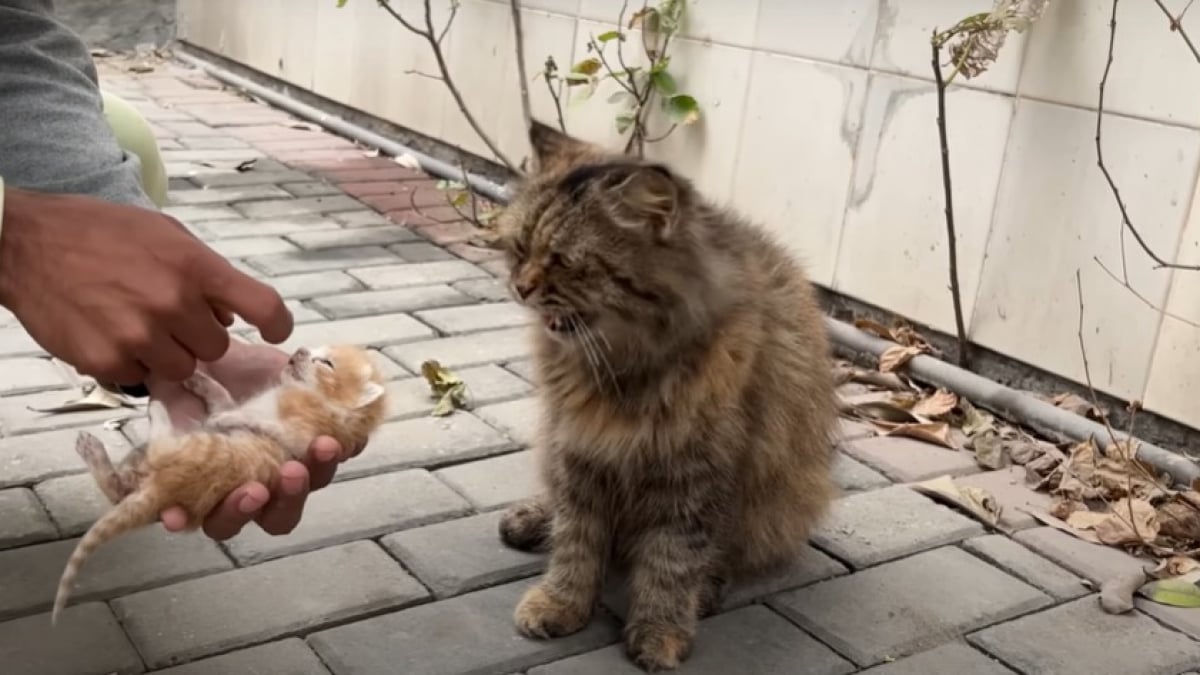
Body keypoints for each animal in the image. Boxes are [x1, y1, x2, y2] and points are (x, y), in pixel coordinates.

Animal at [51, 343, 386, 624]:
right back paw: (95, 450)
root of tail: (160, 490)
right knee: (119, 488)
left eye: (326, 363)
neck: (314, 398)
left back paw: (157, 412)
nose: (300, 350)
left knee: (160, 450)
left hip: (202, 452)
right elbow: (222, 397)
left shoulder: (307, 436)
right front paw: (201, 381)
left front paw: (228, 419)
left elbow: (265, 425)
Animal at [492, 123, 840, 667]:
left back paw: (708, 589)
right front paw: (560, 603)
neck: (621, 371)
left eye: (564, 262)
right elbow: (575, 541)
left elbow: (672, 563)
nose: (520, 287)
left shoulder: (693, 476)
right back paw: (532, 519)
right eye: (520, 247)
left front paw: (660, 631)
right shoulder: (579, 449)